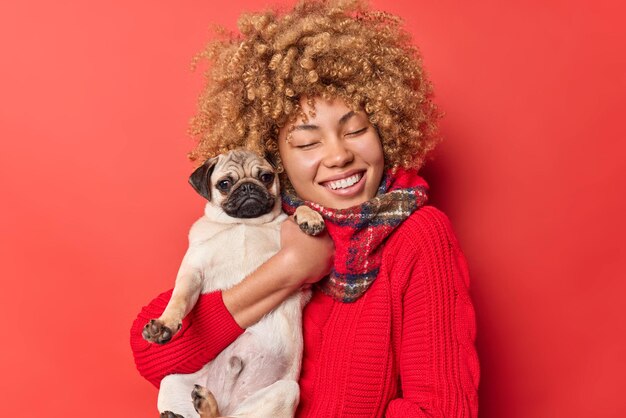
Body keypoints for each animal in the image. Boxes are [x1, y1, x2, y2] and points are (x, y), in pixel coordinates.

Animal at [142, 150, 324, 418]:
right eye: (225, 184)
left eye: (266, 177)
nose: (248, 187)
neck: (243, 223)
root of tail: (229, 404)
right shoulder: (193, 272)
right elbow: (180, 299)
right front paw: (165, 324)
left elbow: (293, 212)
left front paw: (308, 216)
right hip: (170, 381)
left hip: (288, 390)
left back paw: (206, 405)